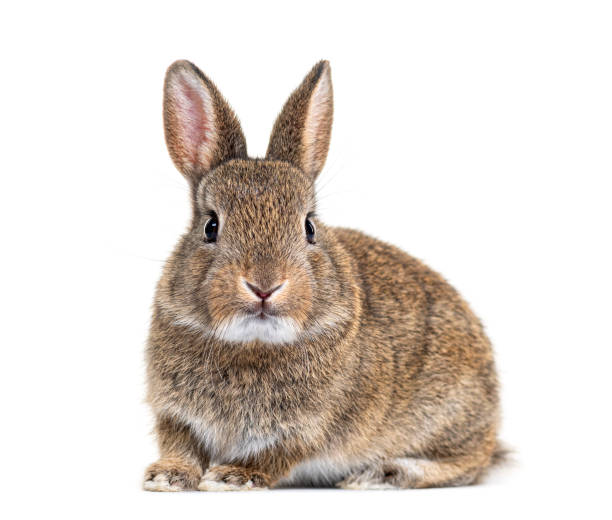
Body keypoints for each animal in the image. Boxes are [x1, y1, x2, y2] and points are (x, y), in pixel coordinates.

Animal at [143, 60, 502, 492]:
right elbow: (180, 445)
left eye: (309, 227)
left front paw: (232, 477)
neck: (252, 345)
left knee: (468, 462)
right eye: (211, 227)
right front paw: (167, 476)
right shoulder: (174, 415)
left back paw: (382, 473)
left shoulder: (308, 430)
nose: (265, 286)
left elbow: (274, 456)